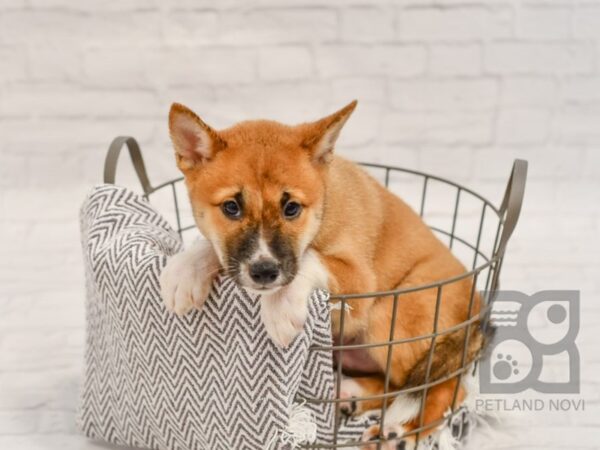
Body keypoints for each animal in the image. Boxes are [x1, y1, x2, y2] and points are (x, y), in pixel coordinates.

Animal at [159, 102, 482, 450]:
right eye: (231, 207)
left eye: (291, 208)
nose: (264, 273)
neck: (323, 212)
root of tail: (478, 306)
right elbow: (211, 246)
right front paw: (184, 271)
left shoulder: (359, 279)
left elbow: (311, 257)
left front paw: (280, 308)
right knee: (393, 384)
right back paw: (350, 394)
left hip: (391, 317)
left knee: (444, 389)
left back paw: (399, 432)